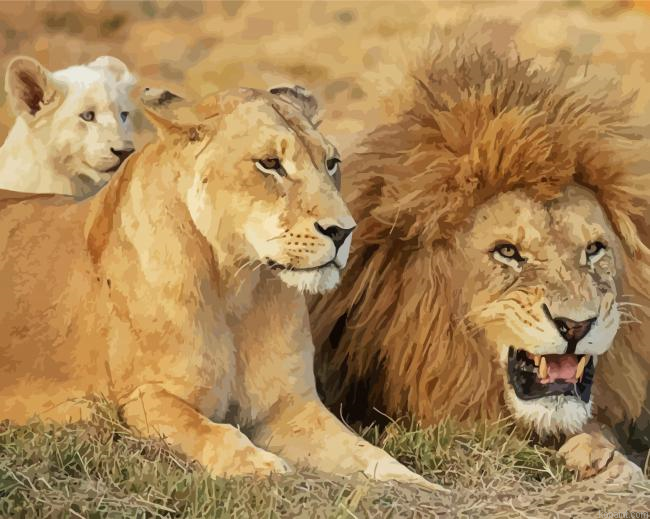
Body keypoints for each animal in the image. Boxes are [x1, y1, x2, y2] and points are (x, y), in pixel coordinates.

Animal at [0, 85, 439, 490]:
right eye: (269, 164)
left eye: (331, 163)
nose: (343, 231)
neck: (237, 288)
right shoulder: (142, 399)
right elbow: (212, 432)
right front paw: (262, 467)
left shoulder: (290, 407)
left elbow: (366, 453)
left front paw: (417, 486)